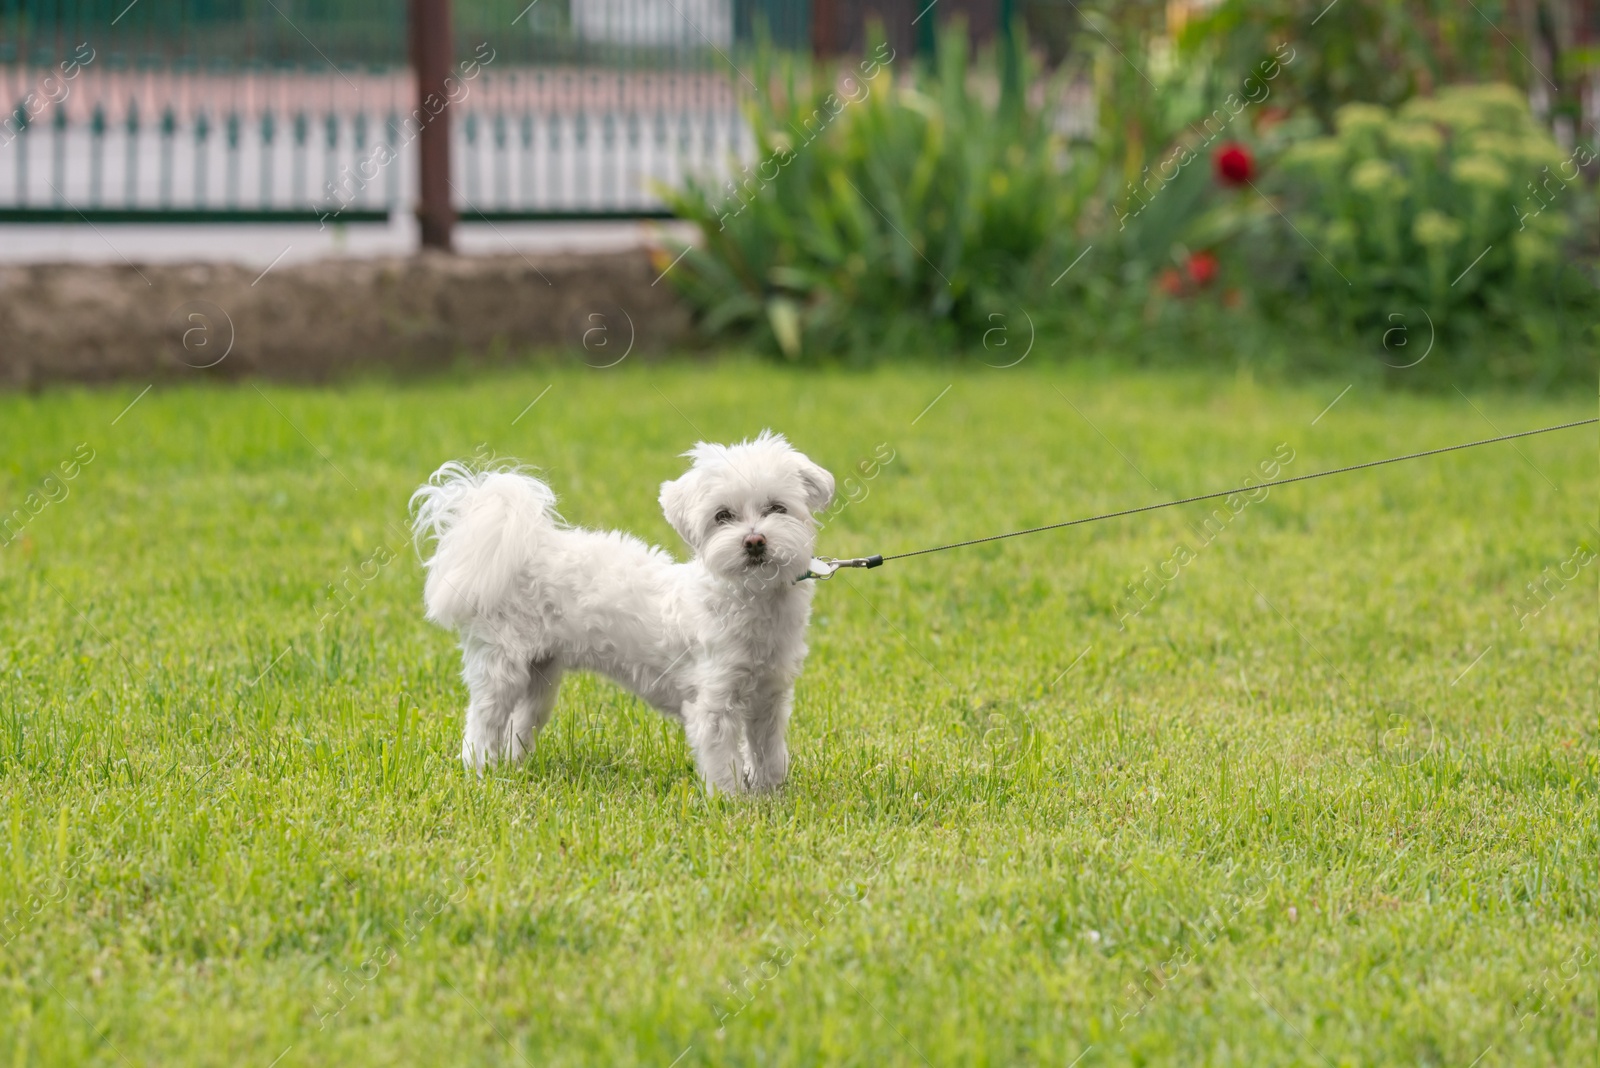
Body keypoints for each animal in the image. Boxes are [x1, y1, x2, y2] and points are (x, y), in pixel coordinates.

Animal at [409, 431, 838, 793]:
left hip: (540, 677)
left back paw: (513, 769)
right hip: (501, 666)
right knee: (482, 724)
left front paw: (769, 796)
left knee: (518, 725)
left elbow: (769, 755)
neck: (751, 600)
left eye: (777, 508)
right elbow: (723, 766)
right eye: (722, 516)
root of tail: (526, 548)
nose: (754, 541)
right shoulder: (714, 705)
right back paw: (479, 772)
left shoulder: (769, 699)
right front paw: (732, 805)